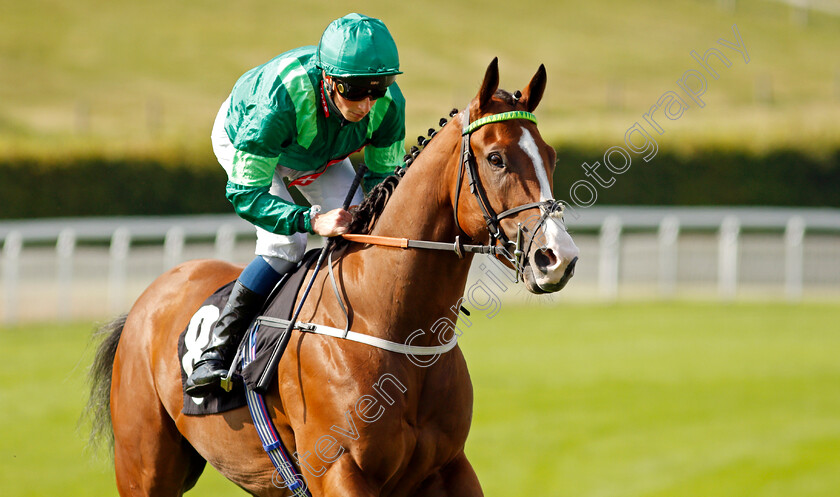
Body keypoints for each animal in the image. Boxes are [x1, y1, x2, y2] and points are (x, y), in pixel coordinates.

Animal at [88, 59, 580, 496]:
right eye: (496, 158)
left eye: (552, 156)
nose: (558, 257)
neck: (390, 324)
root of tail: (149, 297)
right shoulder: (337, 470)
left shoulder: (449, 468)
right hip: (143, 467)